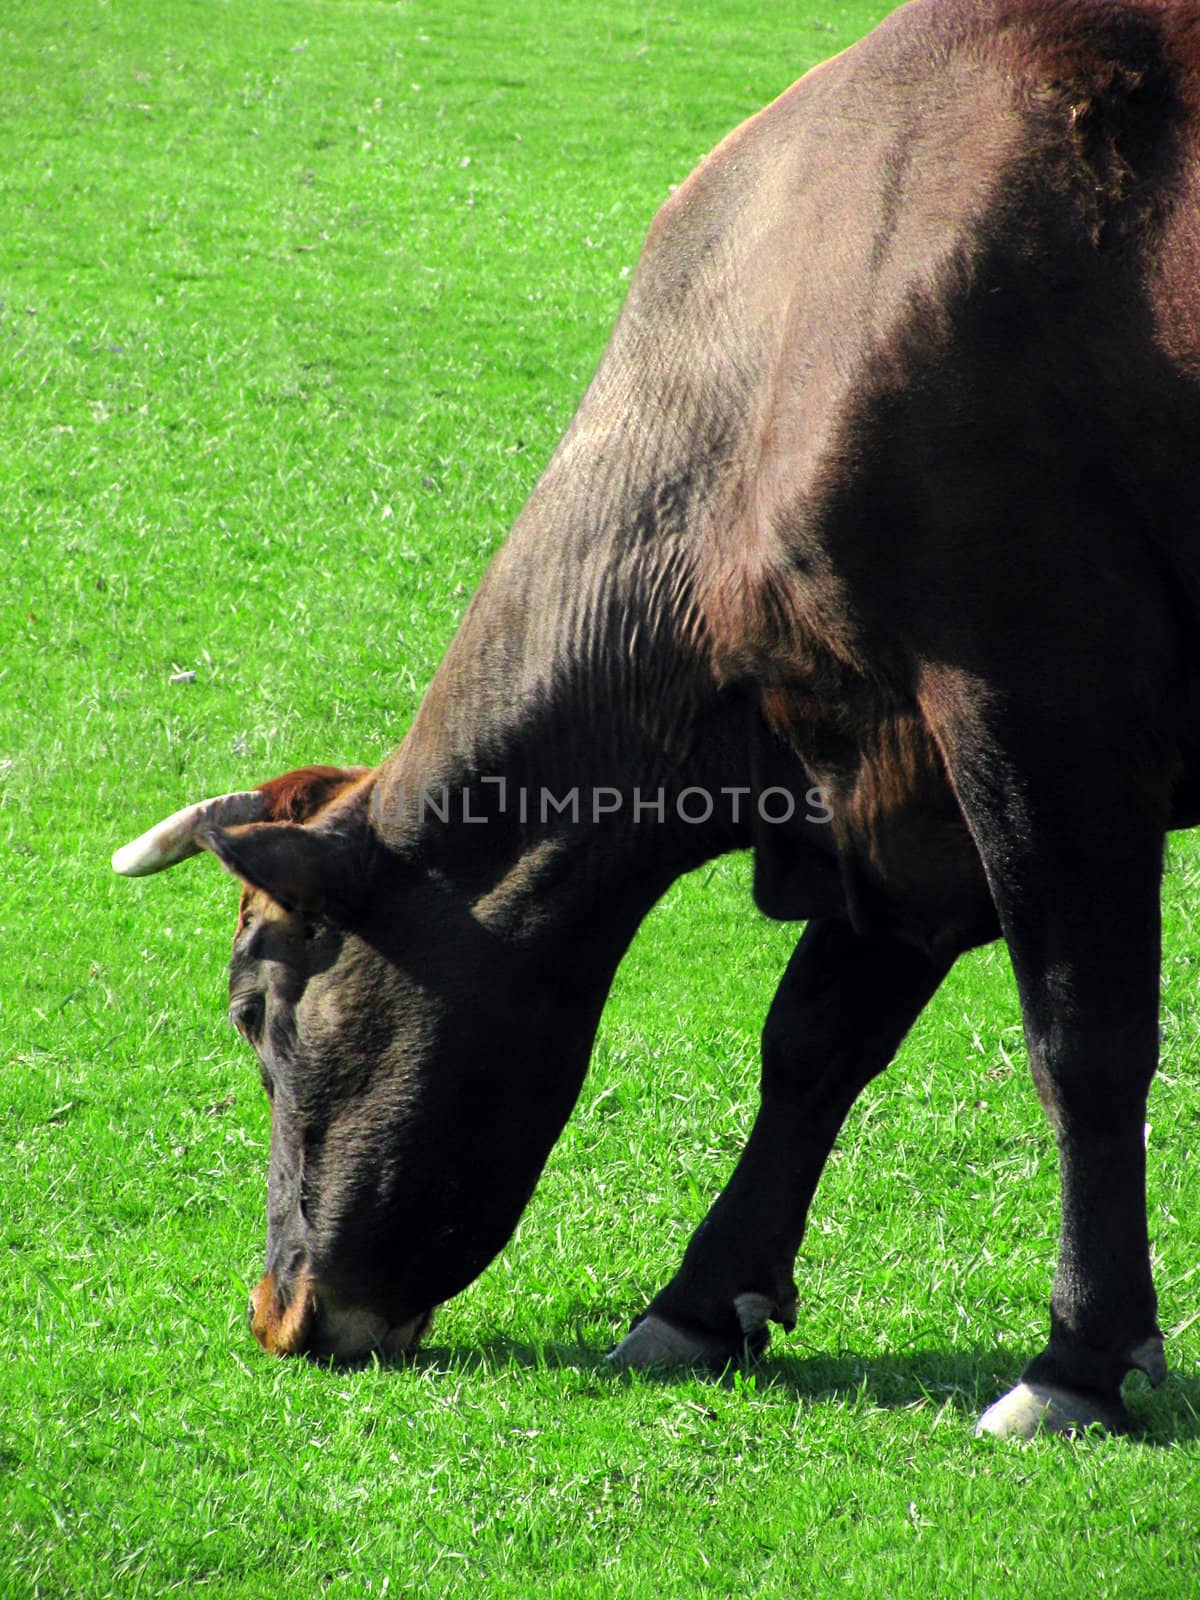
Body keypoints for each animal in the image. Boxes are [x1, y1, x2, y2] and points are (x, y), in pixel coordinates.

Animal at [112, 0, 1200, 1446]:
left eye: (253, 1009)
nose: (277, 1314)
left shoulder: (1038, 714)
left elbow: (1085, 1042)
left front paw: (1081, 1356)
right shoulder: (890, 776)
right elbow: (814, 1039)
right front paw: (700, 1302)